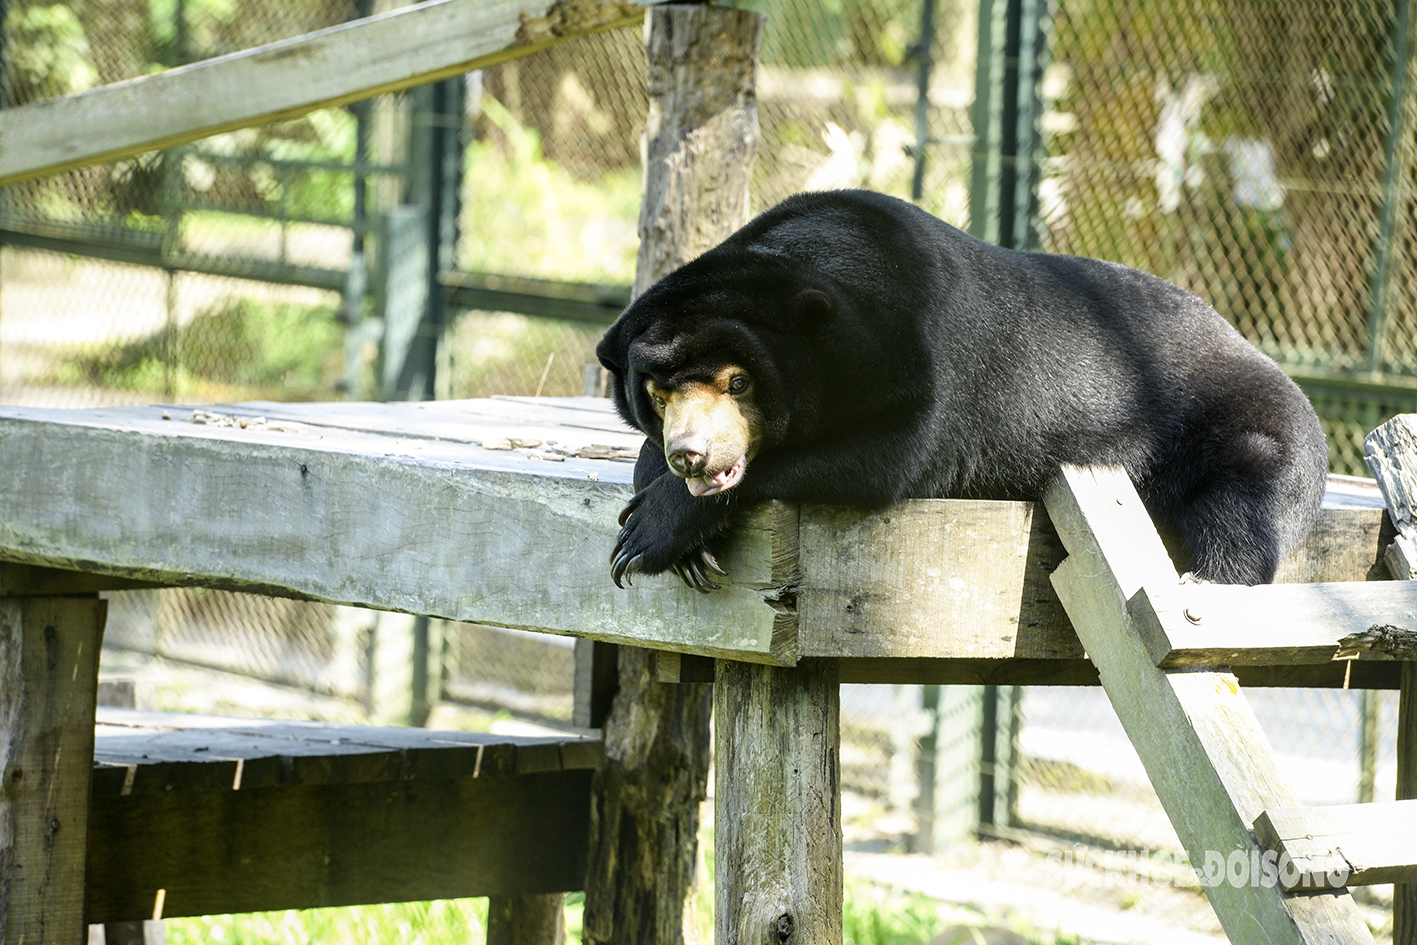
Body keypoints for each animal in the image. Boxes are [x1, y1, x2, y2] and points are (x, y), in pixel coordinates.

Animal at [595, 188, 1326, 592]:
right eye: (656, 392)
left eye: (739, 381)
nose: (693, 455)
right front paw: (674, 523)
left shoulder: (919, 364)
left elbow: (878, 459)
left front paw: (651, 535)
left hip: (1250, 421)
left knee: (1247, 496)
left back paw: (1207, 577)